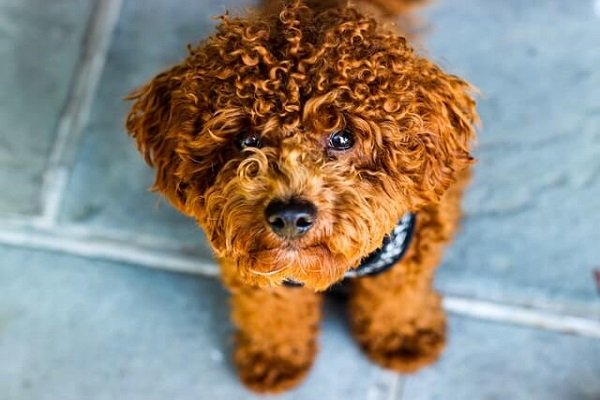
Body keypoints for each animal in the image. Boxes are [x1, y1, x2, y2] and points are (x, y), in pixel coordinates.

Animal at [126, 0, 478, 394]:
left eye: (343, 137)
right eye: (248, 140)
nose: (290, 215)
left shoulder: (410, 250)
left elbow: (397, 295)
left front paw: (403, 335)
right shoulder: (256, 269)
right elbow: (273, 312)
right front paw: (275, 357)